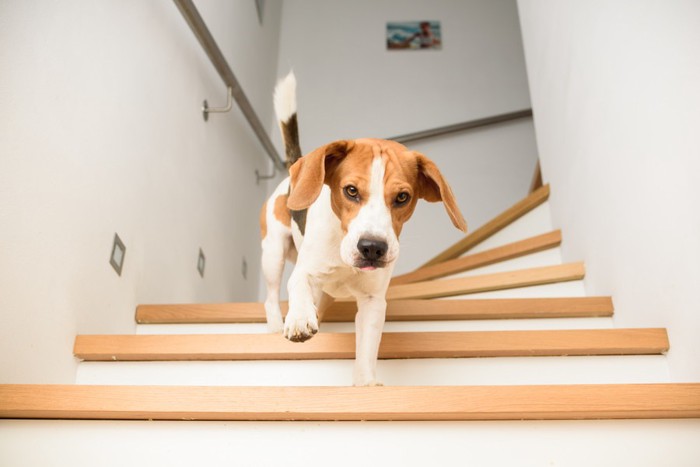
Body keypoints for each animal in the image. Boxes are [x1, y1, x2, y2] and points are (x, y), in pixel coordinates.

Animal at [260, 72, 468, 388]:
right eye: (351, 190)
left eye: (403, 197)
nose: (372, 248)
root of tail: (294, 170)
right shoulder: (305, 271)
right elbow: (297, 285)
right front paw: (298, 319)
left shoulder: (373, 302)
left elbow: (367, 347)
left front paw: (366, 382)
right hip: (273, 251)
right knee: (271, 297)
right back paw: (275, 327)